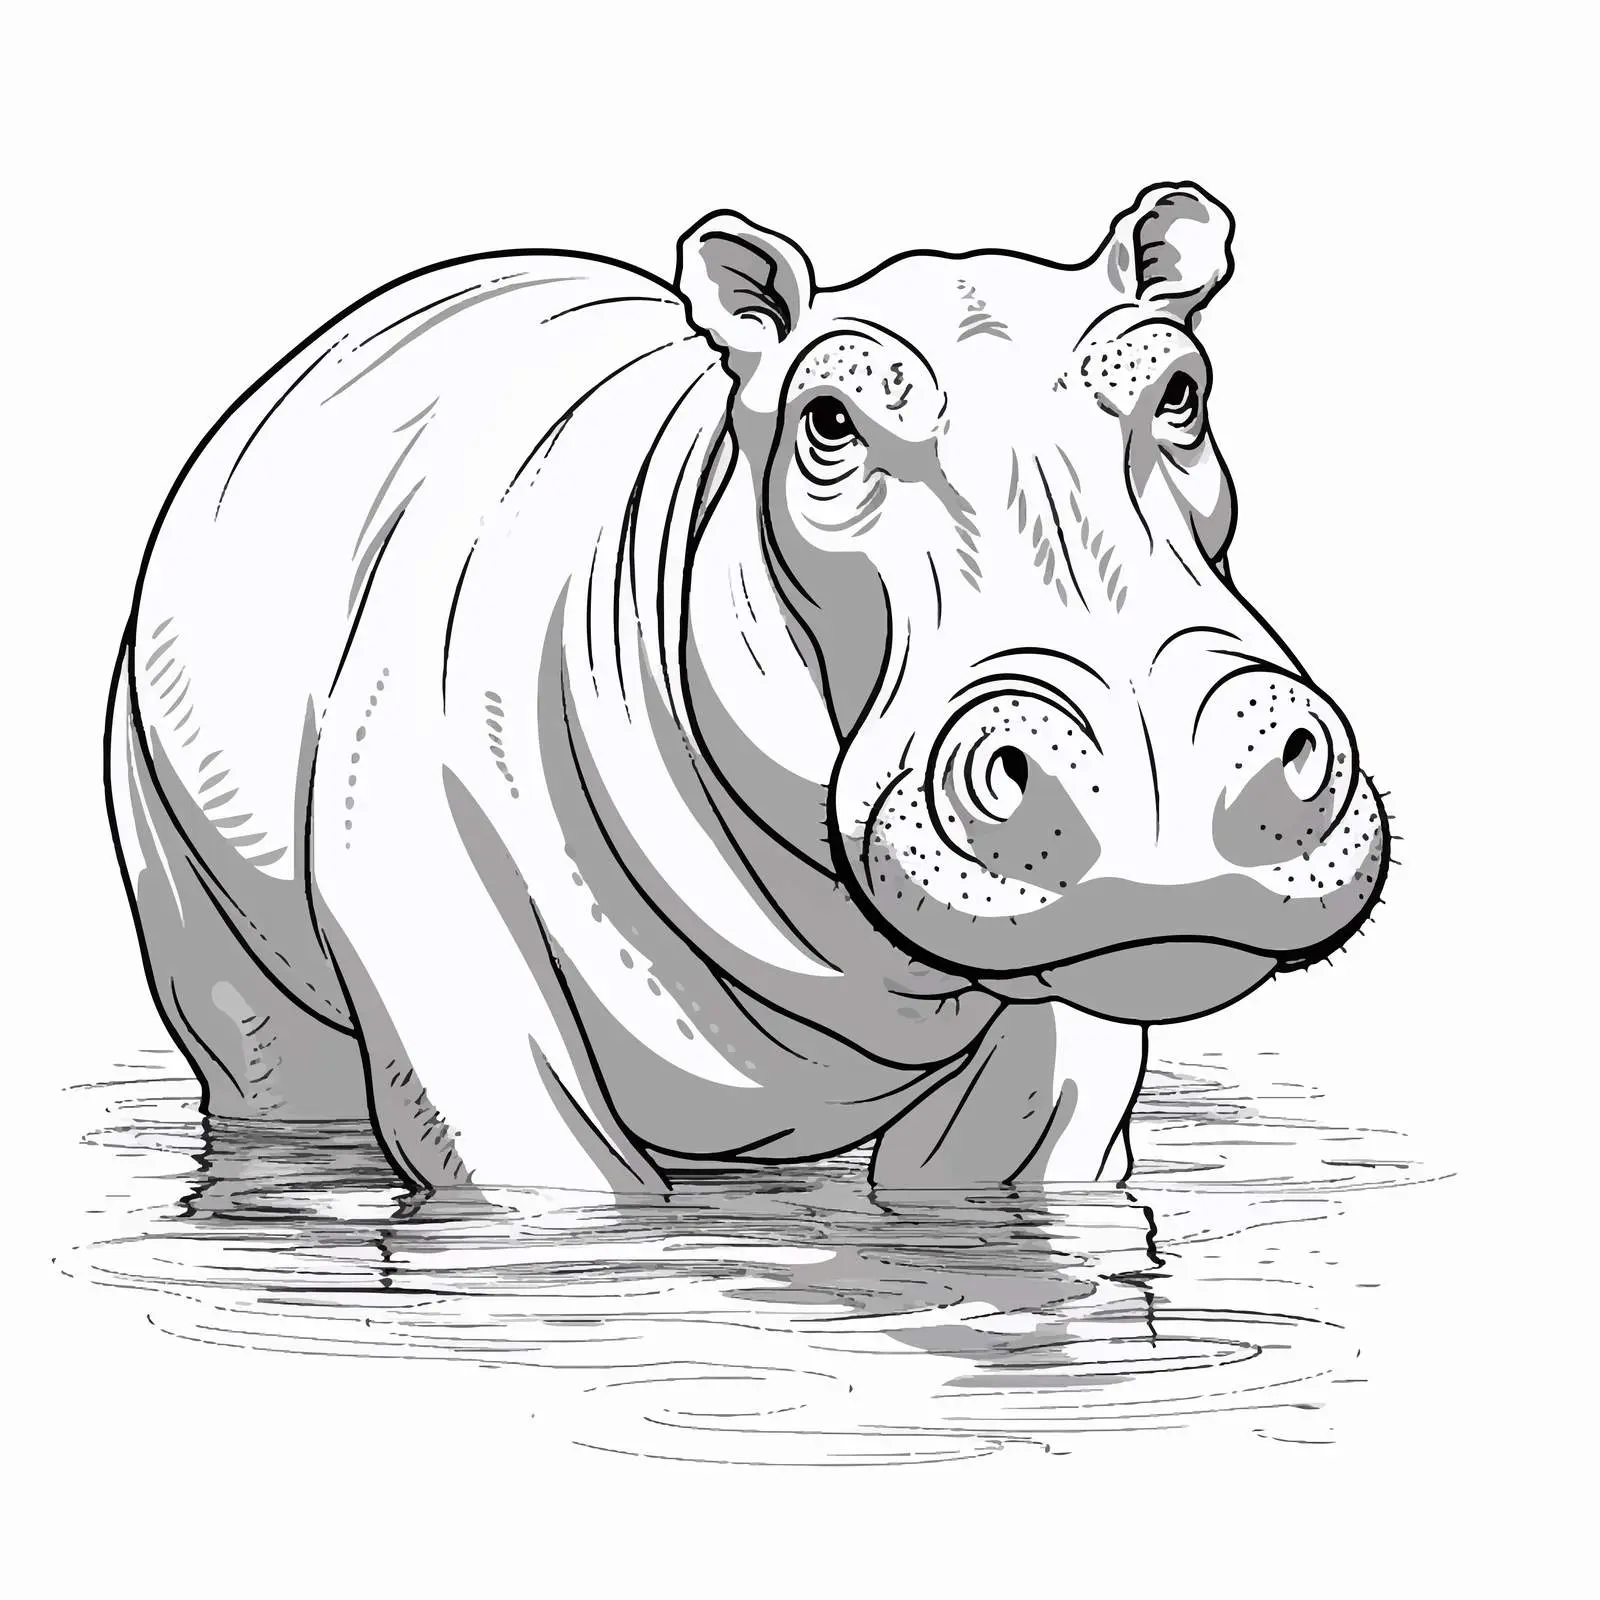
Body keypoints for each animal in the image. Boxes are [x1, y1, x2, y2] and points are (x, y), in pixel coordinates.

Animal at [106, 183, 1389, 1198]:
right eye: (827, 417)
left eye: (1178, 389)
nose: (1157, 779)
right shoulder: (440, 930)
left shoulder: (1061, 1046)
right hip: (209, 943)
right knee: (267, 1067)